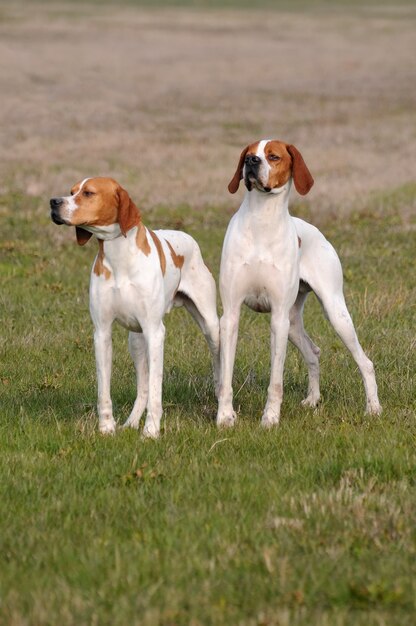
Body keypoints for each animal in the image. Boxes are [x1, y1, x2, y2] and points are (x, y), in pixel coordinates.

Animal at [50, 176, 219, 436]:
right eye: (71, 191)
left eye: (88, 193)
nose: (54, 202)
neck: (119, 257)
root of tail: (186, 236)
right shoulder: (102, 333)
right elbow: (104, 390)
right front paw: (107, 428)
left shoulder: (155, 332)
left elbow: (157, 391)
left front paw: (151, 431)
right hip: (136, 341)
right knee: (143, 388)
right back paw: (131, 422)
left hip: (210, 327)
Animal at [216, 139, 382, 426]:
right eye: (248, 154)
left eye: (273, 156)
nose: (251, 162)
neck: (261, 220)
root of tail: (317, 232)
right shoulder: (231, 316)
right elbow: (226, 377)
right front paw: (225, 417)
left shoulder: (277, 319)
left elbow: (276, 381)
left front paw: (270, 419)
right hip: (293, 324)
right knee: (313, 352)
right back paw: (313, 400)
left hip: (333, 314)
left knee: (366, 362)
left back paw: (373, 408)